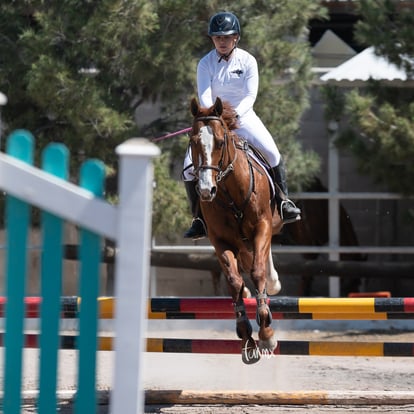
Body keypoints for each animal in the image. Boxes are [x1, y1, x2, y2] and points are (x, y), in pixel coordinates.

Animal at [188, 96, 284, 362]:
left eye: (220, 142)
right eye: (193, 141)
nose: (206, 191)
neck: (230, 192)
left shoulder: (262, 228)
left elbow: (258, 271)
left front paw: (266, 332)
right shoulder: (220, 240)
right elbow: (233, 280)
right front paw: (246, 335)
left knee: (262, 266)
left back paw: (271, 285)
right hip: (240, 245)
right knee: (243, 272)